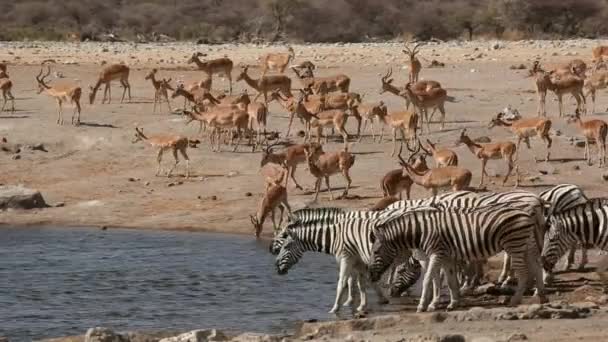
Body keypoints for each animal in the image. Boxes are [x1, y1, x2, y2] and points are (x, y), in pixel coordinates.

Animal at [368, 203, 548, 312]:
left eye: (375, 252)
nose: (371, 276)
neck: (420, 231)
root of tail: (526, 213)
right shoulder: (446, 256)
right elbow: (449, 280)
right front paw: (452, 303)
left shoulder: (436, 253)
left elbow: (428, 280)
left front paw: (423, 305)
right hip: (527, 243)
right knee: (536, 266)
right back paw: (541, 296)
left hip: (514, 244)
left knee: (524, 273)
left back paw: (515, 300)